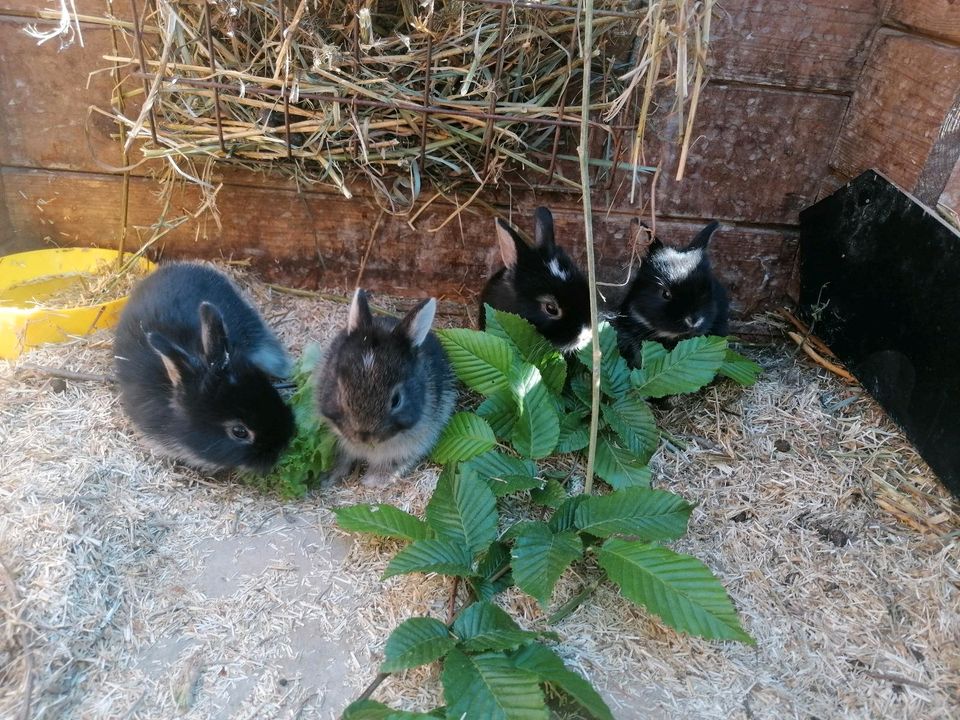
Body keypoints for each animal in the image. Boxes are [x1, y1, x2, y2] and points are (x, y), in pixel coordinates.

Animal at [312, 290, 454, 486]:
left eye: (396, 401)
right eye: (340, 393)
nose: (364, 435)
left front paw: (372, 481)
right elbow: (342, 457)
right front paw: (329, 479)